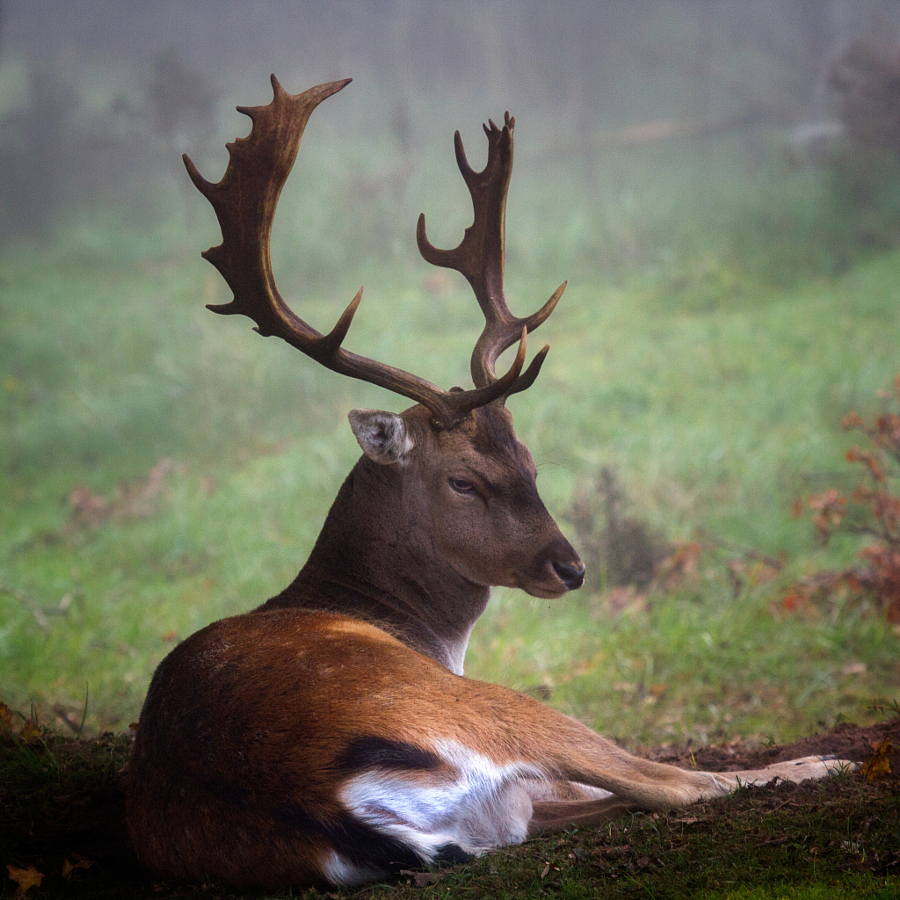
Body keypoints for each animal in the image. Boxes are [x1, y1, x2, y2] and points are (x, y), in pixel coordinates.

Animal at [126, 79, 856, 892]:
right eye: (462, 482)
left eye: (531, 461)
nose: (570, 566)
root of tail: (324, 802)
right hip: (493, 711)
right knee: (673, 783)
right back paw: (826, 762)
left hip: (496, 807)